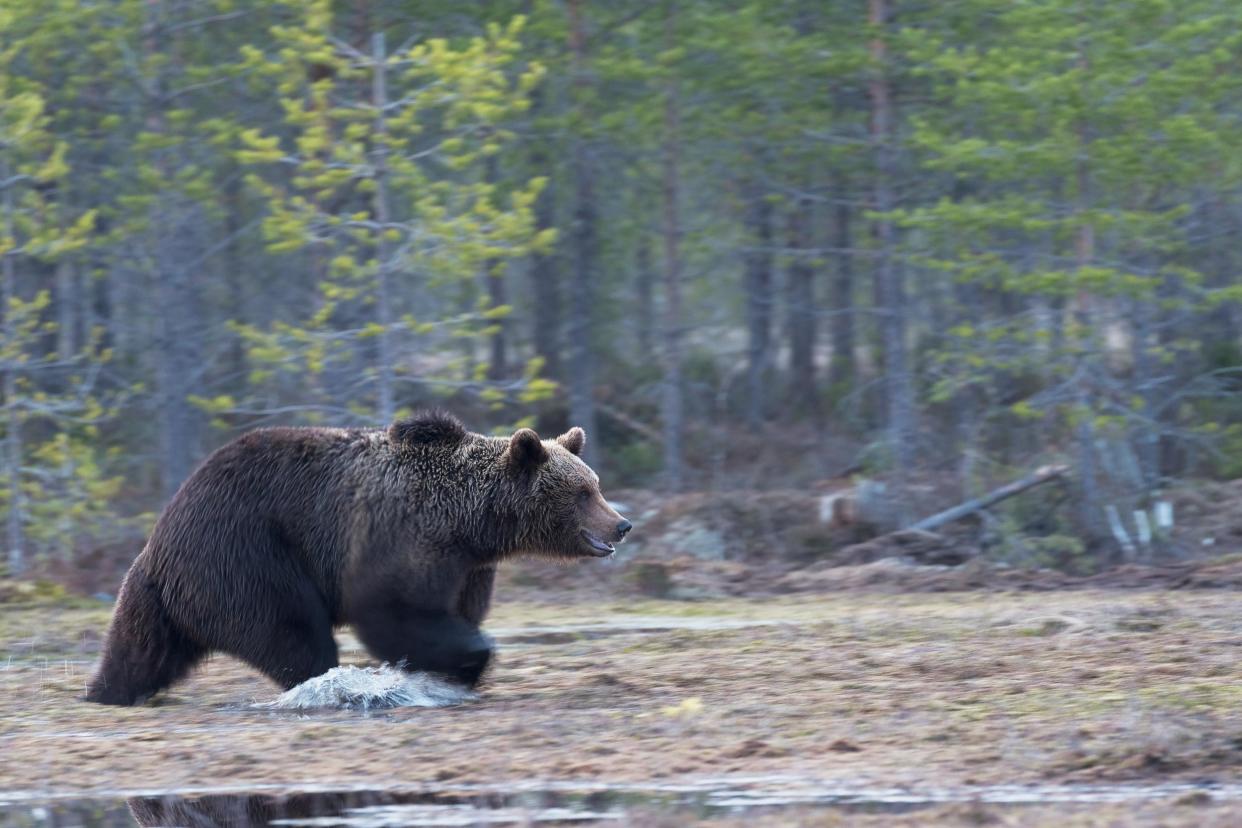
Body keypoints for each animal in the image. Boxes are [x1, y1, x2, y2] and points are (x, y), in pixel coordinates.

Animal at [85, 412, 630, 705]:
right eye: (583, 492)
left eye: (596, 484)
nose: (621, 524)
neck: (472, 524)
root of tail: (161, 535)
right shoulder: (402, 535)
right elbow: (393, 610)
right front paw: (461, 661)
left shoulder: (468, 566)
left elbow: (455, 610)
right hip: (246, 556)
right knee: (292, 632)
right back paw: (323, 683)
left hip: (172, 592)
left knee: (142, 648)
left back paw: (106, 690)